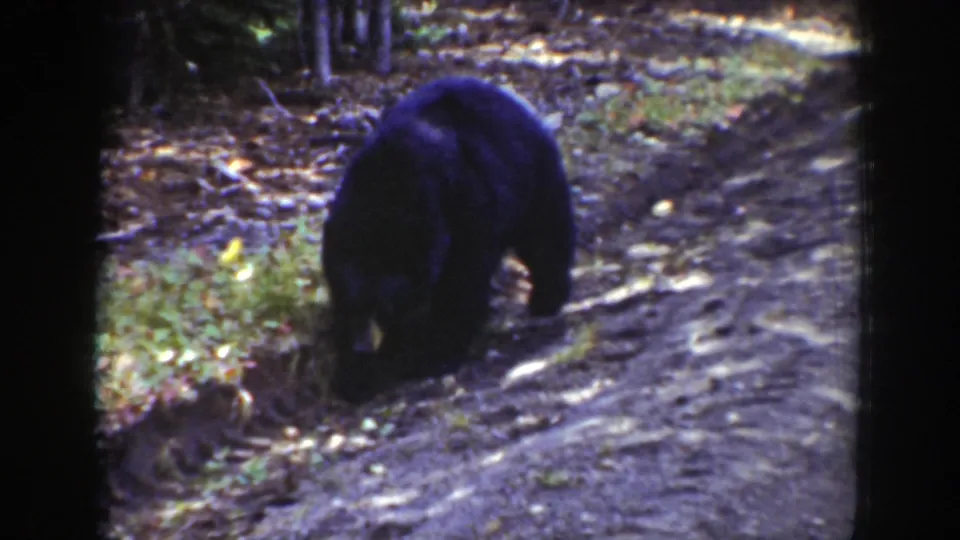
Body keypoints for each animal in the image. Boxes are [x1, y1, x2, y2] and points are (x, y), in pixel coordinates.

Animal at [321, 76, 576, 403]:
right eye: (357, 301)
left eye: (385, 302)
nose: (365, 341)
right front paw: (354, 374)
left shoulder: (464, 209)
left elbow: (462, 282)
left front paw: (431, 355)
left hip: (533, 173)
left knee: (545, 233)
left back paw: (548, 297)